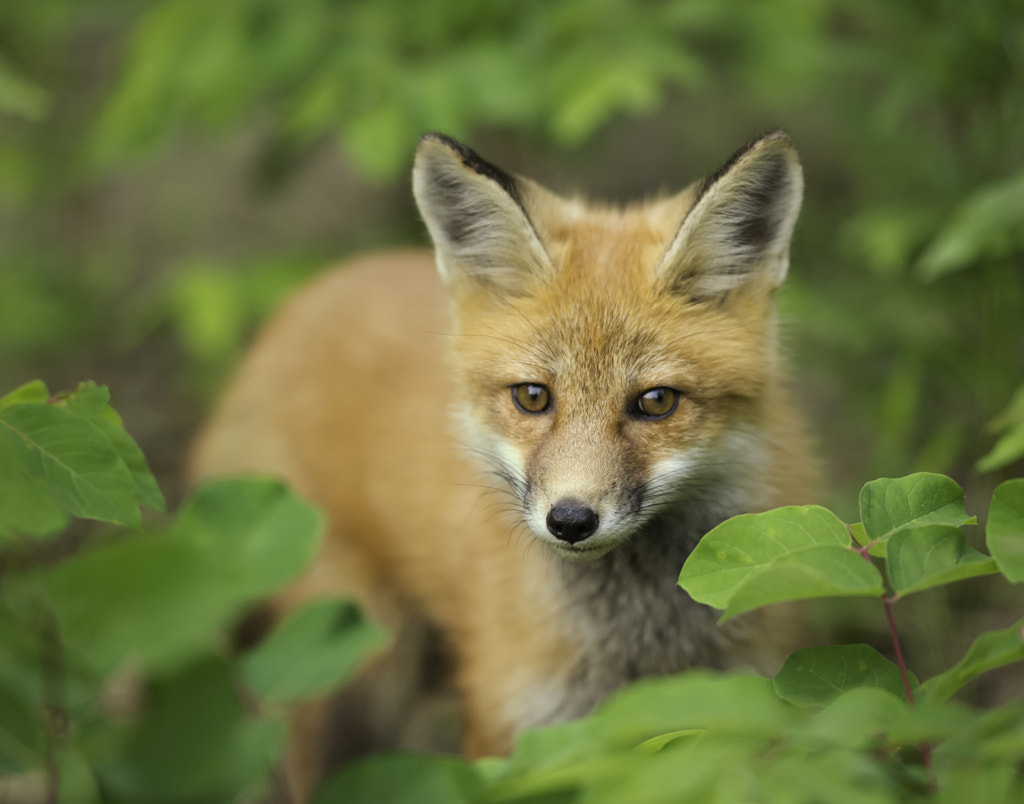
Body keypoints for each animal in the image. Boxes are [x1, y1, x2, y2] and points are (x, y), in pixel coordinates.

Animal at [190, 130, 815, 794]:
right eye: (533, 396)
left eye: (656, 402)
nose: (570, 521)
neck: (636, 646)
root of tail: (311, 294)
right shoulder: (516, 728)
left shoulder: (739, 711)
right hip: (355, 663)